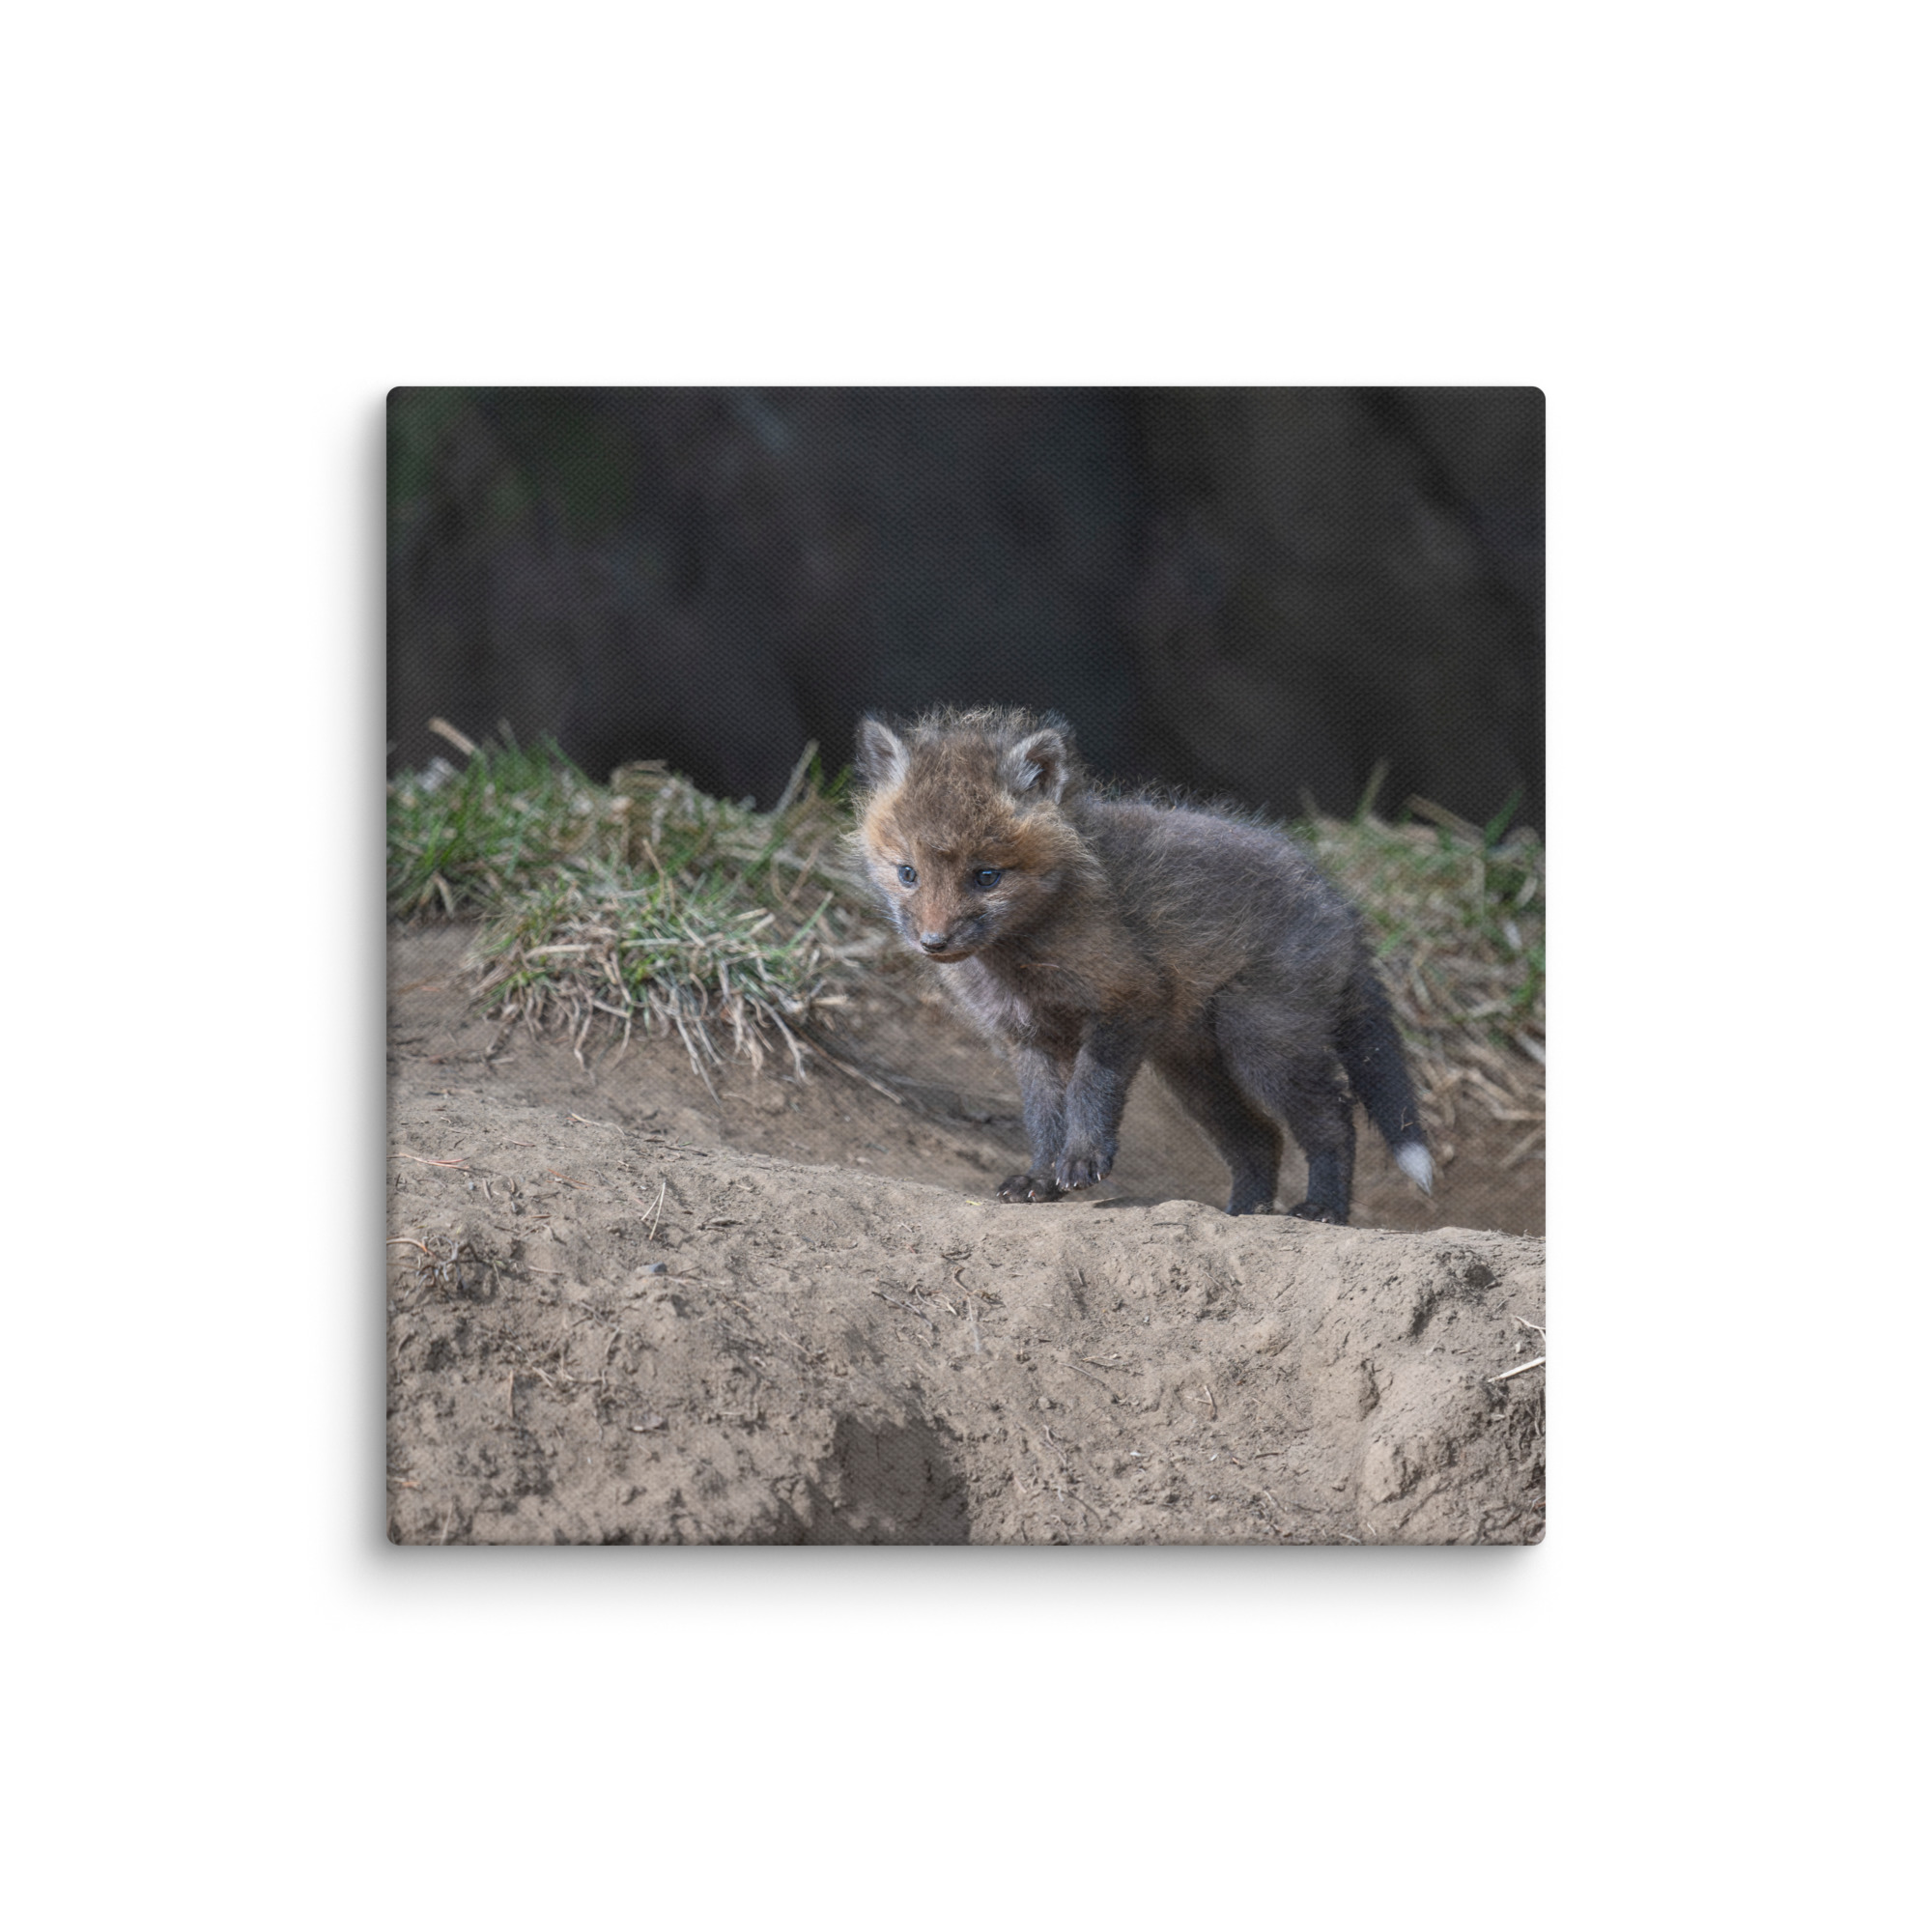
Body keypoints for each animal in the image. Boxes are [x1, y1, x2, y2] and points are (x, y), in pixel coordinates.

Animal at [853, 707, 1433, 1223]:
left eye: (986, 876)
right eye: (907, 873)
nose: (933, 942)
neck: (1020, 960)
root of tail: (1338, 903)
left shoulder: (1127, 999)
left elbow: (1090, 1089)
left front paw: (1082, 1160)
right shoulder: (1028, 1037)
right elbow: (1043, 1117)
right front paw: (1041, 1179)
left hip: (1262, 1042)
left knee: (1334, 1119)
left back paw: (1323, 1209)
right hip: (1194, 1072)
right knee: (1261, 1139)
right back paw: (1244, 1213)